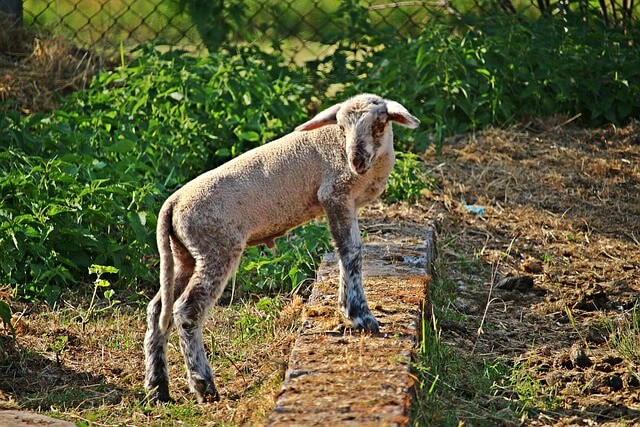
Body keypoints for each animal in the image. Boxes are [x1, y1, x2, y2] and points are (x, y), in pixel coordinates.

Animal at [146, 93, 422, 404]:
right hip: (216, 246)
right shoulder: (335, 194)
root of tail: (172, 205)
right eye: (341, 127)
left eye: (379, 124)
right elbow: (351, 250)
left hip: (184, 254)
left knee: (158, 309)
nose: (357, 161)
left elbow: (345, 251)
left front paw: (347, 308)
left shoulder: (344, 201)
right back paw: (204, 385)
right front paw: (361, 316)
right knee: (186, 309)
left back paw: (158, 388)